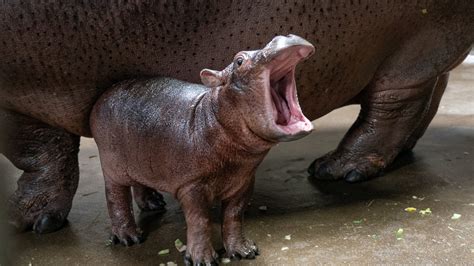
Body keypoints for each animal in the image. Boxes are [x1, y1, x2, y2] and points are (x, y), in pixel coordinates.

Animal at [0, 0, 474, 233]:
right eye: (241, 59)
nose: (284, 34)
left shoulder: (18, 96)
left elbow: (40, 153)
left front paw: (34, 221)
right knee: (430, 92)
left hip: (412, 44)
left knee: (394, 105)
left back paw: (337, 169)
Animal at [90, 34, 314, 264]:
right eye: (239, 60)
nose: (284, 36)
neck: (214, 114)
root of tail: (104, 95)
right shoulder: (191, 186)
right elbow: (199, 220)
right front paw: (203, 260)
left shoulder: (244, 181)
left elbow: (234, 215)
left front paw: (244, 251)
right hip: (112, 167)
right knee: (116, 197)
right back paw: (130, 238)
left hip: (140, 159)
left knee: (138, 182)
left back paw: (154, 204)